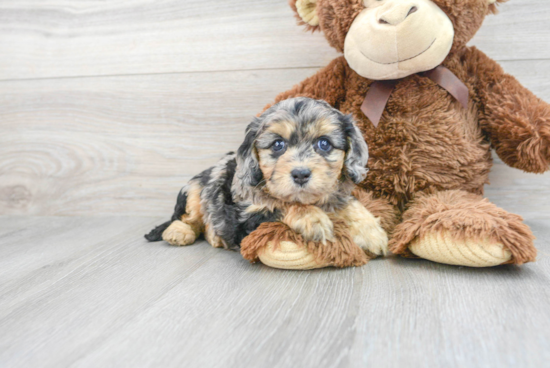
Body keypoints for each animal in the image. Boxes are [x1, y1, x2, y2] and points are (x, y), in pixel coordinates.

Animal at [144, 98, 390, 256]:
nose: (300, 174)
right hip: (195, 189)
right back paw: (179, 232)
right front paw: (312, 219)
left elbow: (350, 204)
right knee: (188, 217)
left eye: (324, 144)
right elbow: (282, 205)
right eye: (278, 144)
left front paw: (371, 232)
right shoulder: (247, 219)